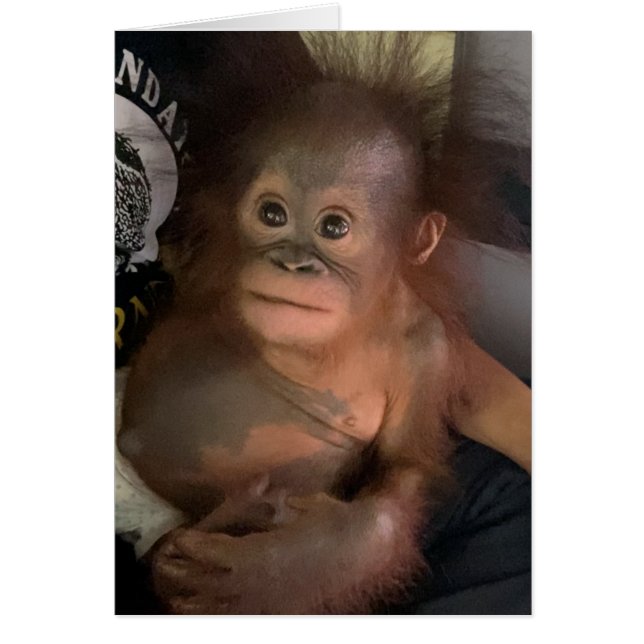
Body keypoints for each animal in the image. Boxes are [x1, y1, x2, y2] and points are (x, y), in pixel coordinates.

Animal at [116, 33, 531, 614]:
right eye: (272, 215)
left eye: (334, 227)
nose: (293, 264)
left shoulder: (428, 350)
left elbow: (403, 470)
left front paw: (291, 566)